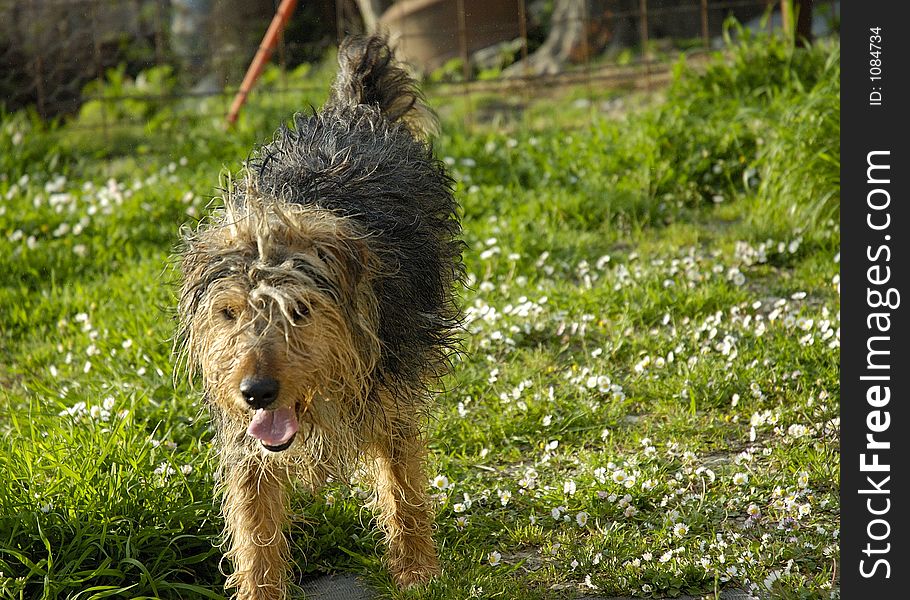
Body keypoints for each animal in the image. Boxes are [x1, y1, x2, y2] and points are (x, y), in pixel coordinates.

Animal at [176, 34, 464, 600]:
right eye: (228, 313)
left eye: (301, 310)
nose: (256, 392)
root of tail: (354, 112)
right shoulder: (245, 439)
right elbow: (255, 526)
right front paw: (260, 588)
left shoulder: (392, 392)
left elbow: (402, 483)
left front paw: (416, 569)